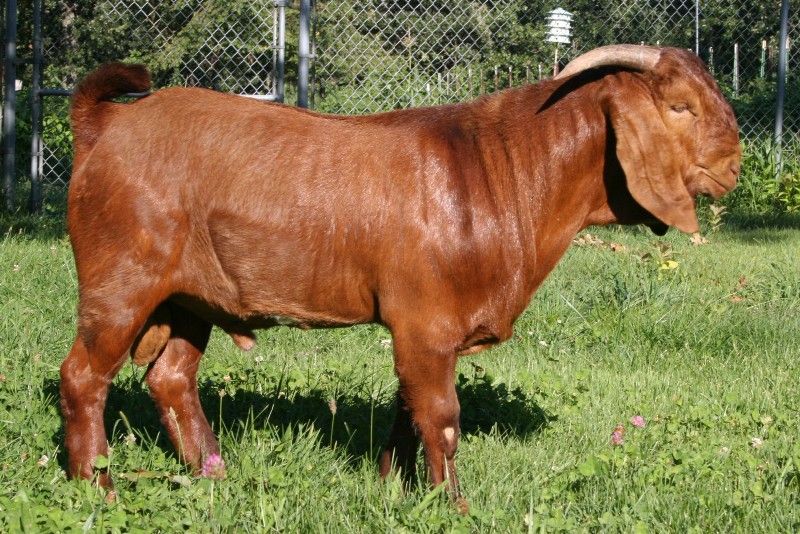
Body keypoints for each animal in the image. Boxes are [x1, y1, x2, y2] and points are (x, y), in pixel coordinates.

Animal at [60, 45, 740, 504]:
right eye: (679, 106)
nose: (734, 163)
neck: (506, 171)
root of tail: (104, 125)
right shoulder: (426, 318)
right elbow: (440, 416)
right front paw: (454, 505)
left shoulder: (422, 329)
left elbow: (407, 409)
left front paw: (392, 485)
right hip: (122, 280)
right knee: (83, 377)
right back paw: (98, 487)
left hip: (189, 299)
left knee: (171, 377)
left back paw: (214, 473)